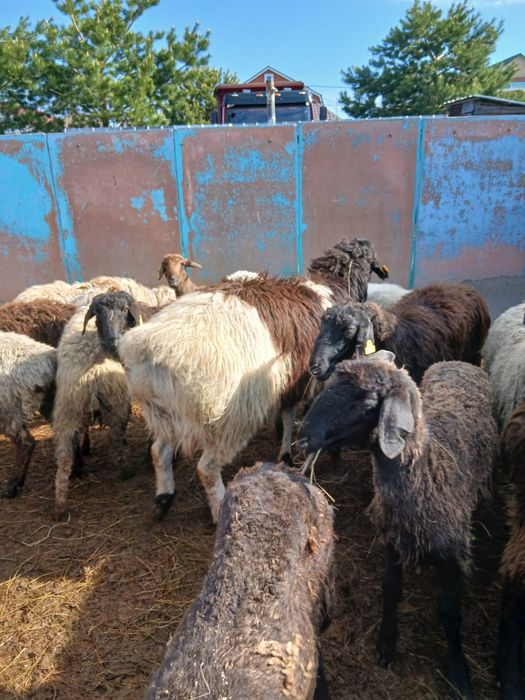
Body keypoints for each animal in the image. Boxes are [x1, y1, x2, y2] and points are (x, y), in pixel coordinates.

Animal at [53, 302, 132, 519]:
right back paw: (124, 471)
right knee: (116, 437)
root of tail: (92, 375)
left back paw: (60, 504)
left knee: (64, 457)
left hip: (68, 410)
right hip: (116, 403)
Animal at [115, 237, 389, 522]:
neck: (332, 285)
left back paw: (163, 499)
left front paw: (286, 454)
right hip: (227, 419)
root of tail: (154, 350)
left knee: (159, 452)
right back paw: (218, 508)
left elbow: (288, 416)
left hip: (162, 412)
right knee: (207, 468)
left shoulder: (289, 379)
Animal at [298, 352, 497, 699]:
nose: (303, 437)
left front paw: (459, 673)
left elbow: (450, 613)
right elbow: (390, 591)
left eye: (366, 403)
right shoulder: (392, 538)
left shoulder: (454, 555)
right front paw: (386, 644)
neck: (429, 470)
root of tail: (459, 362)